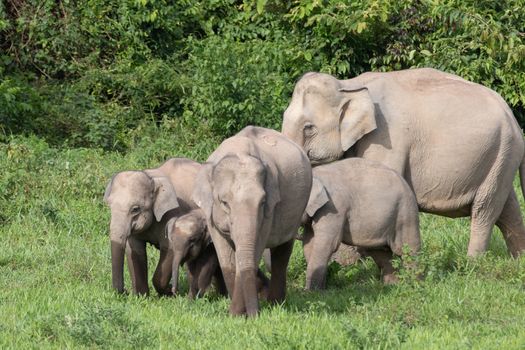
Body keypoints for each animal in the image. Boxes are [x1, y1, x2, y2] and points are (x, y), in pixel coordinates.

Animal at [104, 158, 201, 296]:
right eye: (109, 206)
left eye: (135, 209)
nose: (125, 291)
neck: (152, 178)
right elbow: (135, 249)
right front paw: (141, 295)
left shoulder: (173, 213)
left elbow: (170, 248)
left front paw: (168, 292)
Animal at [194, 126, 314, 318]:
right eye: (224, 203)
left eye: (263, 202)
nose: (254, 315)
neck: (239, 152)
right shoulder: (210, 213)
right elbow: (226, 258)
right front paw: (235, 315)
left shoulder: (269, 212)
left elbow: (254, 251)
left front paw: (236, 314)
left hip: (298, 208)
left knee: (282, 252)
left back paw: (276, 303)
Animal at [282, 67, 524, 258]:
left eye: (308, 127)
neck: (349, 85)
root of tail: (512, 116)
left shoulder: (386, 137)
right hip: (501, 158)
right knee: (508, 207)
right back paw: (517, 261)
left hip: (502, 151)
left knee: (485, 210)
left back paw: (472, 262)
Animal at [300, 157, 420, 288]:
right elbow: (308, 243)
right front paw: (318, 289)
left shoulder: (334, 208)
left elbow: (327, 244)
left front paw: (311, 291)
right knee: (381, 253)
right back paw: (391, 285)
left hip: (406, 213)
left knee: (409, 250)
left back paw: (415, 285)